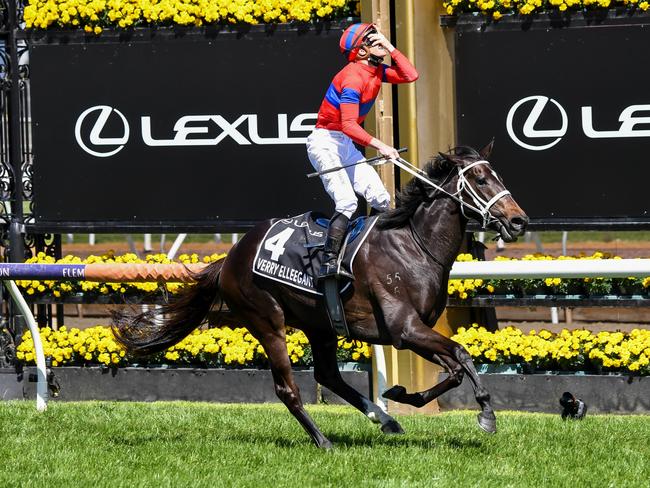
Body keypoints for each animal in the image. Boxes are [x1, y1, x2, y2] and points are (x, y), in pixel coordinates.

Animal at [111, 143, 528, 448]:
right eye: (479, 178)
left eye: (497, 176)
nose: (519, 220)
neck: (414, 245)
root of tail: (230, 257)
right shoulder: (404, 329)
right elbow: (462, 354)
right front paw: (487, 414)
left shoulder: (412, 331)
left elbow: (455, 369)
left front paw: (402, 395)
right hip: (267, 321)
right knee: (288, 388)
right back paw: (323, 440)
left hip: (321, 325)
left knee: (328, 374)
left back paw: (383, 418)